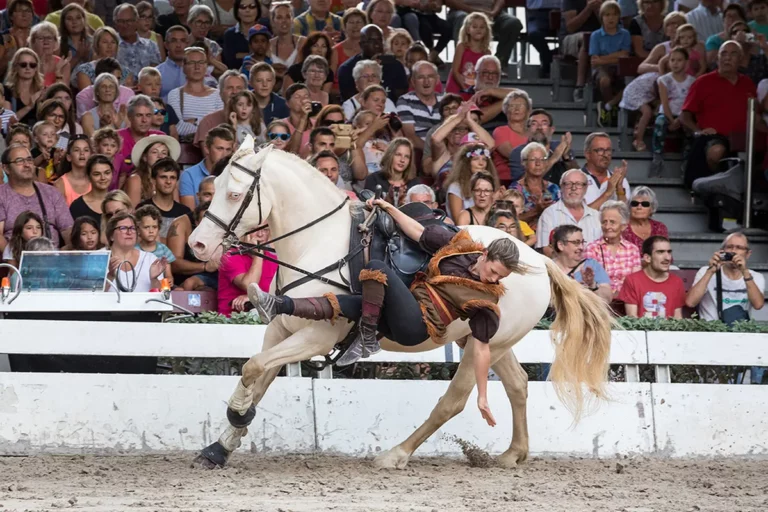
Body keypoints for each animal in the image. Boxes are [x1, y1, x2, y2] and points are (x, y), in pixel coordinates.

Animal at [186, 139, 612, 468]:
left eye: (235, 195)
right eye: (216, 184)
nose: (198, 244)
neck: (317, 242)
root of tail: (539, 260)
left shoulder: (315, 338)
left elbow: (253, 368)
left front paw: (236, 414)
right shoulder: (281, 328)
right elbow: (258, 374)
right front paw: (223, 444)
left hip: (483, 343)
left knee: (455, 400)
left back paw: (396, 454)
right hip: (488, 342)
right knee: (518, 385)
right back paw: (513, 454)